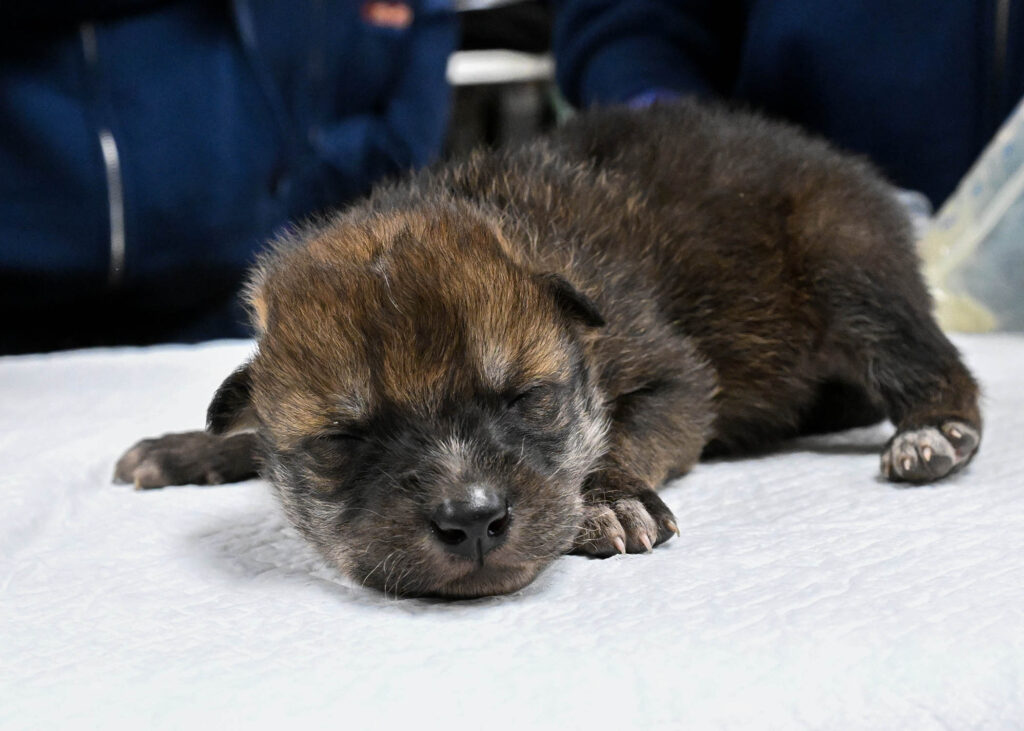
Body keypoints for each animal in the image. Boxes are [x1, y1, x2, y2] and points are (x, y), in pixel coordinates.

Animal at [114, 99, 983, 593]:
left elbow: (629, 431)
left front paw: (609, 497)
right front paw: (187, 447)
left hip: (848, 258)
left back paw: (931, 434)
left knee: (932, 363)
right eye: (341, 439)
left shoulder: (673, 375)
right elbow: (246, 422)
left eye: (529, 399)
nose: (471, 521)